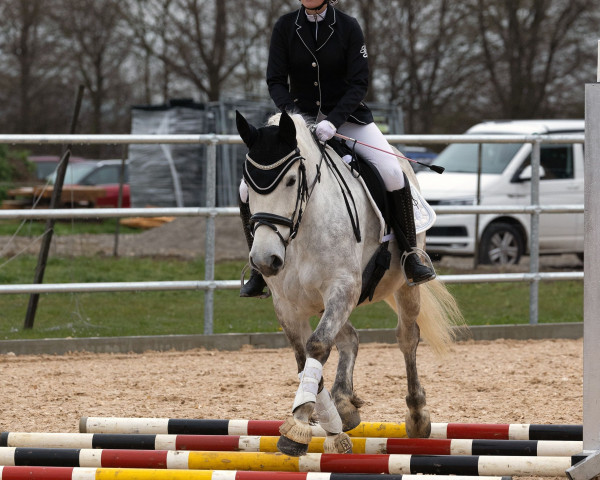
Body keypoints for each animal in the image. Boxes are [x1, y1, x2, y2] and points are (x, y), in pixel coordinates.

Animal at [236, 109, 464, 458]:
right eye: (249, 186)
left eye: (291, 181)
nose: (264, 260)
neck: (304, 225)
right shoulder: (287, 305)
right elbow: (305, 358)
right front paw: (323, 422)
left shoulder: (342, 288)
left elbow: (317, 346)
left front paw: (298, 427)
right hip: (322, 302)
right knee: (350, 338)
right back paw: (343, 403)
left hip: (403, 287)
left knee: (407, 338)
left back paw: (416, 415)